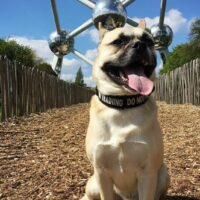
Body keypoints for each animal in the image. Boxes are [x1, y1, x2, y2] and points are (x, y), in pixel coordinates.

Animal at [80, 19, 170, 200]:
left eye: (149, 41)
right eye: (118, 42)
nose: (140, 45)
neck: (123, 104)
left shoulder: (148, 173)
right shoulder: (101, 173)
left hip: (164, 174)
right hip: (92, 184)